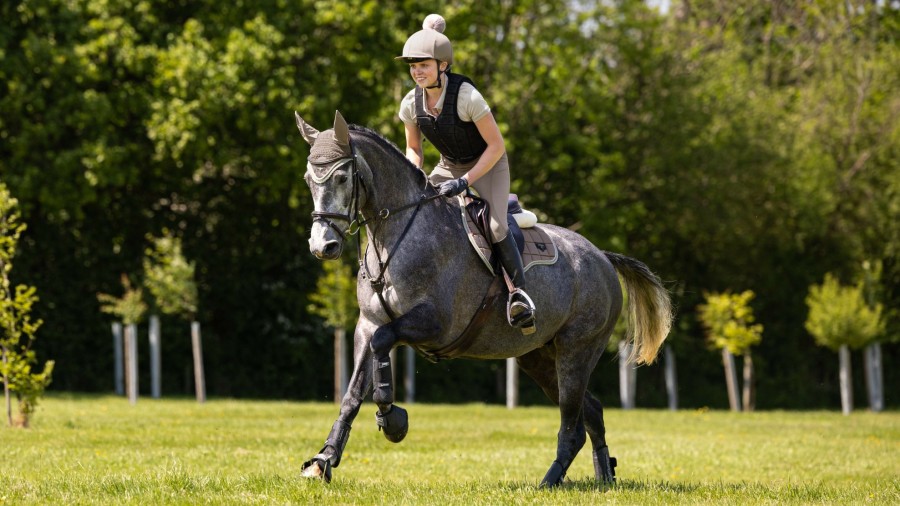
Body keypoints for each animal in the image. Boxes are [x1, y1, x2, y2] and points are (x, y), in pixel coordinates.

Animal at [294, 109, 668, 486]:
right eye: (309, 179)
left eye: (342, 177)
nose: (322, 246)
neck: (397, 234)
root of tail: (602, 257)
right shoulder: (367, 325)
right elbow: (353, 391)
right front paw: (323, 460)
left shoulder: (436, 324)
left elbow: (384, 343)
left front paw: (391, 418)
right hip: (537, 356)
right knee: (590, 411)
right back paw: (604, 476)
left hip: (577, 349)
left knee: (572, 420)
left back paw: (549, 481)